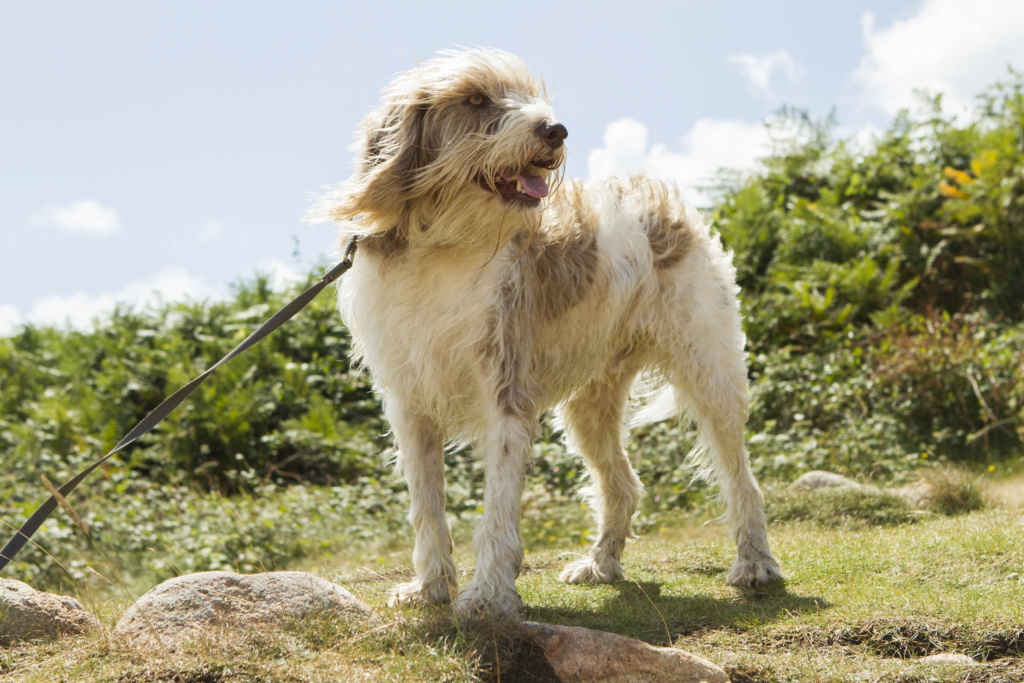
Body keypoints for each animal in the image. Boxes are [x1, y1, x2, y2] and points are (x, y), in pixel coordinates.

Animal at [309, 46, 774, 614]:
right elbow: (427, 506)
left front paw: (486, 595)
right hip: (590, 407)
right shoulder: (410, 402)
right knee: (624, 484)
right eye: (475, 99)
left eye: (531, 96)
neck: (444, 244)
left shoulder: (506, 394)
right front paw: (431, 588)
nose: (555, 130)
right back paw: (600, 564)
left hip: (710, 373)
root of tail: (666, 201)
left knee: (741, 477)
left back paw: (755, 564)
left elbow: (497, 508)